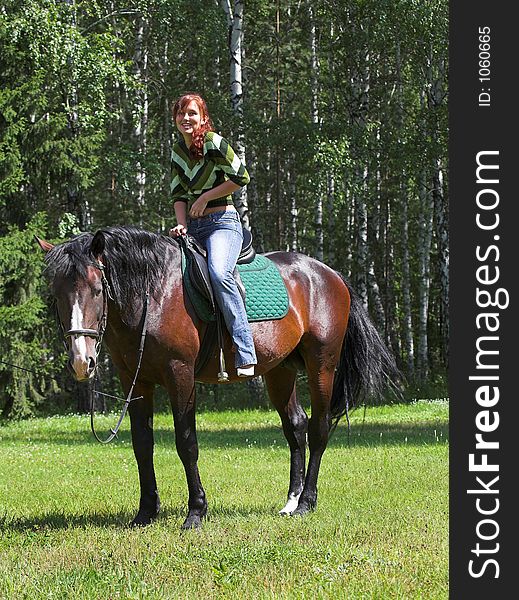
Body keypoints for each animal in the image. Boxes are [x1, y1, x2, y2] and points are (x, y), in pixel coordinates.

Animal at [37, 226, 398, 528]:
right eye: (56, 294)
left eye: (98, 289)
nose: (81, 361)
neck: (154, 295)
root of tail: (330, 274)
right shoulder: (135, 382)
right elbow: (142, 445)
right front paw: (146, 513)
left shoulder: (180, 376)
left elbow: (187, 443)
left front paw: (196, 511)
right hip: (280, 372)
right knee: (296, 427)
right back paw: (291, 502)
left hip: (322, 366)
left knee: (319, 429)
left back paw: (307, 502)